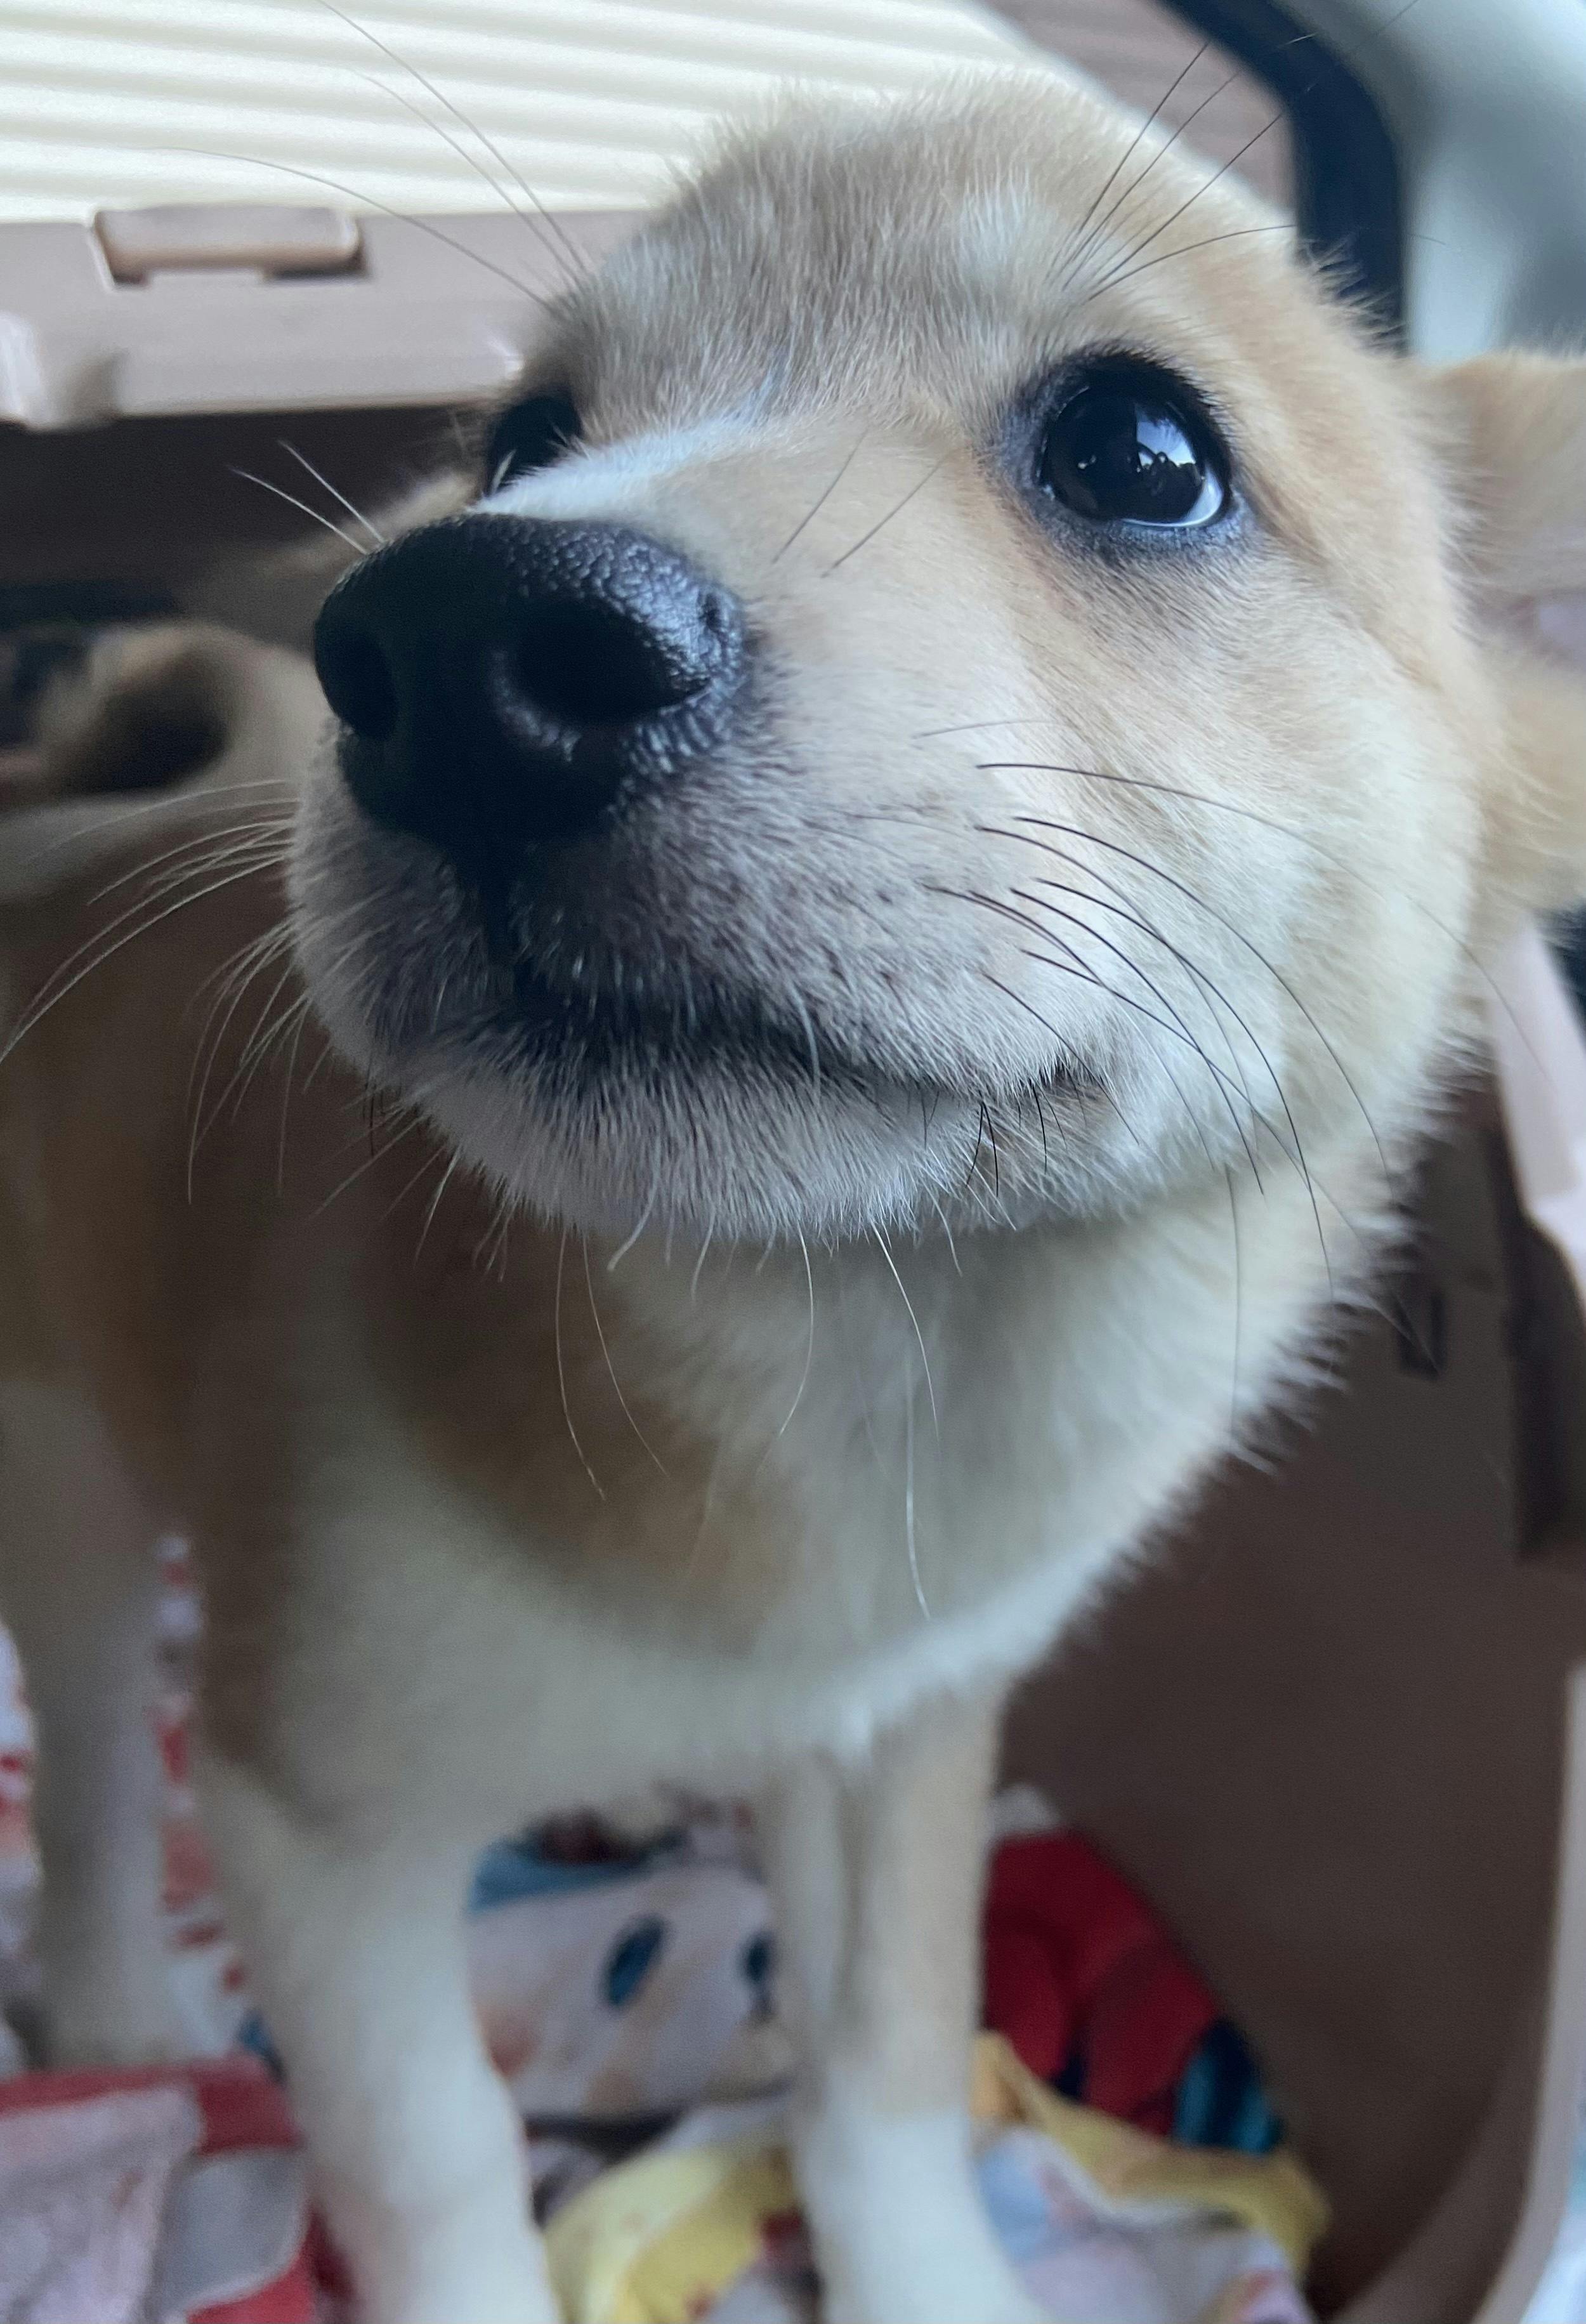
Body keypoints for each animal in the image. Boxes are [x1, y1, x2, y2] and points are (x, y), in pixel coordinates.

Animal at [3, 65, 1586, 2324]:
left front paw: (931, 2278)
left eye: (1139, 452)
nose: (460, 643)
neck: (854, 1367)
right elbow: (432, 2157)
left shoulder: (906, 1732)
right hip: (59, 1476)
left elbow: (889, 2060)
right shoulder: (316, 1819)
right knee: (90, 1780)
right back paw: (119, 1997)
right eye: (523, 436)